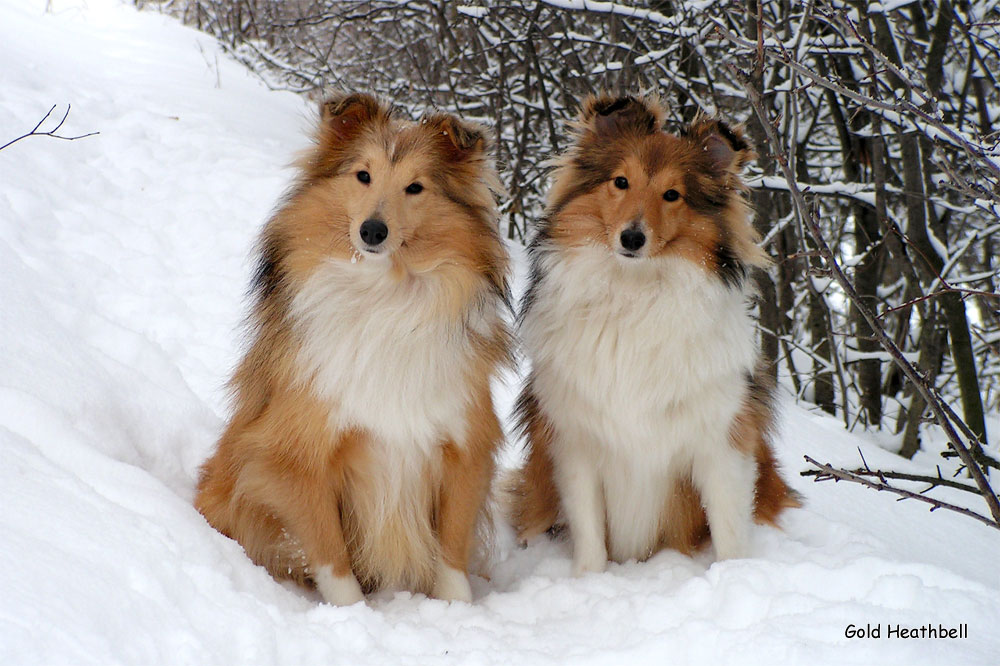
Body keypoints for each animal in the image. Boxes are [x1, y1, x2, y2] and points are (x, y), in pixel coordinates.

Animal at [193, 91, 508, 604]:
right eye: (363, 175)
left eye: (415, 187)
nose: (372, 231)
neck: (384, 295)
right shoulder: (297, 456)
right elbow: (331, 557)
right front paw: (350, 613)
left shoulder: (466, 446)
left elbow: (452, 553)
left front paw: (457, 610)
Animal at [508, 93, 796, 572]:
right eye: (621, 182)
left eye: (672, 194)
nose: (632, 238)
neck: (634, 293)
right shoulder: (574, 442)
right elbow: (589, 530)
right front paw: (589, 578)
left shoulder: (720, 441)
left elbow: (729, 527)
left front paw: (734, 575)